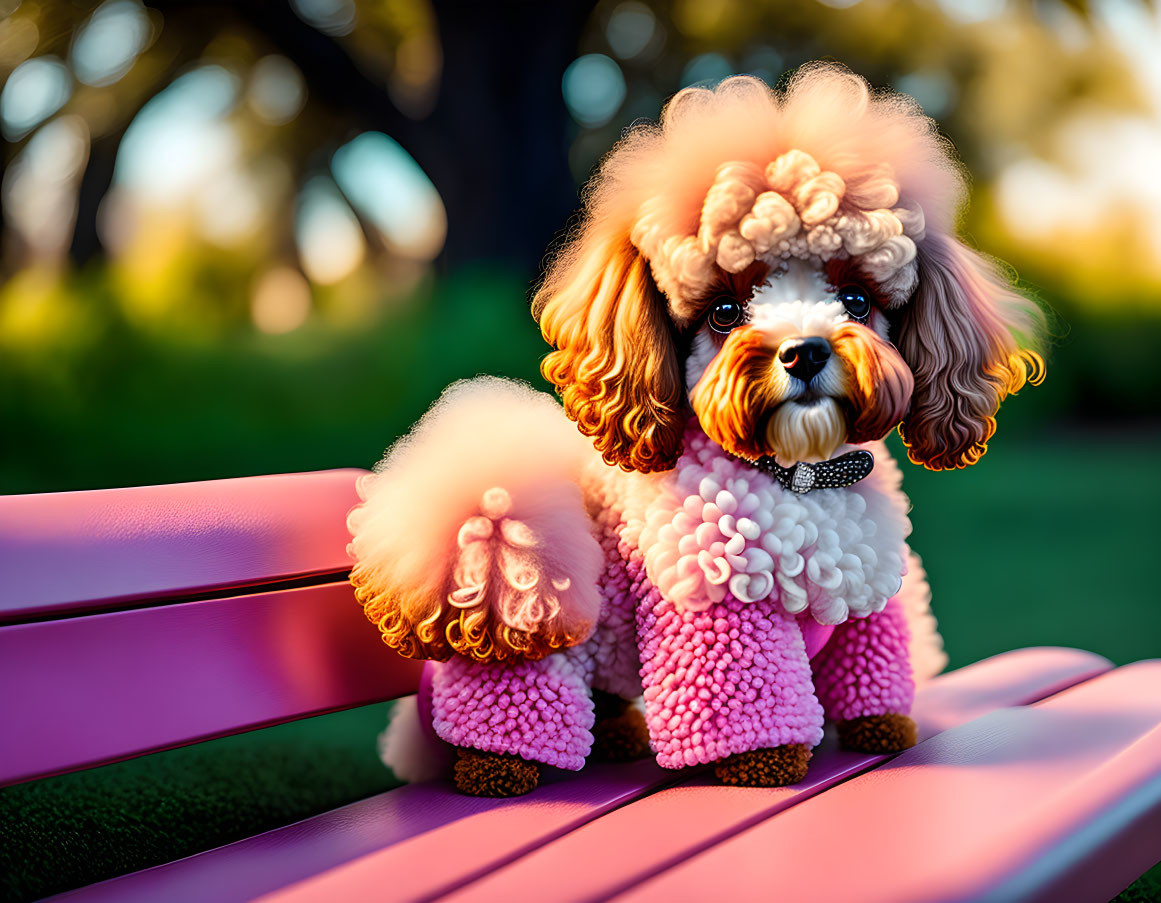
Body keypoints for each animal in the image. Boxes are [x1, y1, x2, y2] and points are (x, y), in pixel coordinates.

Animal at [343, 64, 1044, 793]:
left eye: (856, 299)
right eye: (724, 311)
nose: (804, 352)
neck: (802, 476)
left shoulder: (865, 602)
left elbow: (872, 673)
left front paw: (883, 727)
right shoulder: (716, 608)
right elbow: (744, 696)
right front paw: (760, 762)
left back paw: (617, 735)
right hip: (535, 648)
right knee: (510, 712)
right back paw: (498, 767)